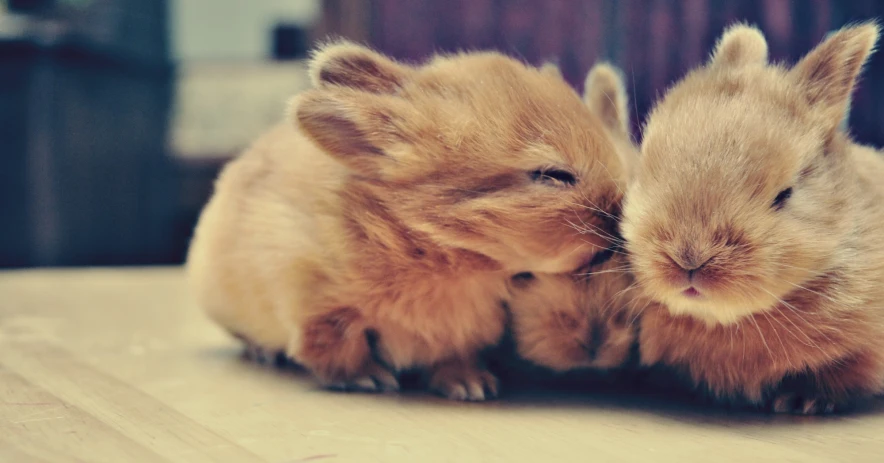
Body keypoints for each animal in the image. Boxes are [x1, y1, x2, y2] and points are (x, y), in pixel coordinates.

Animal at [186, 41, 628, 400]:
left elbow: (453, 356)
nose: (618, 212)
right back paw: (262, 351)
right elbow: (333, 348)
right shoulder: (318, 307)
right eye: (553, 174)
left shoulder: (463, 330)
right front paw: (367, 379)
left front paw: (470, 386)